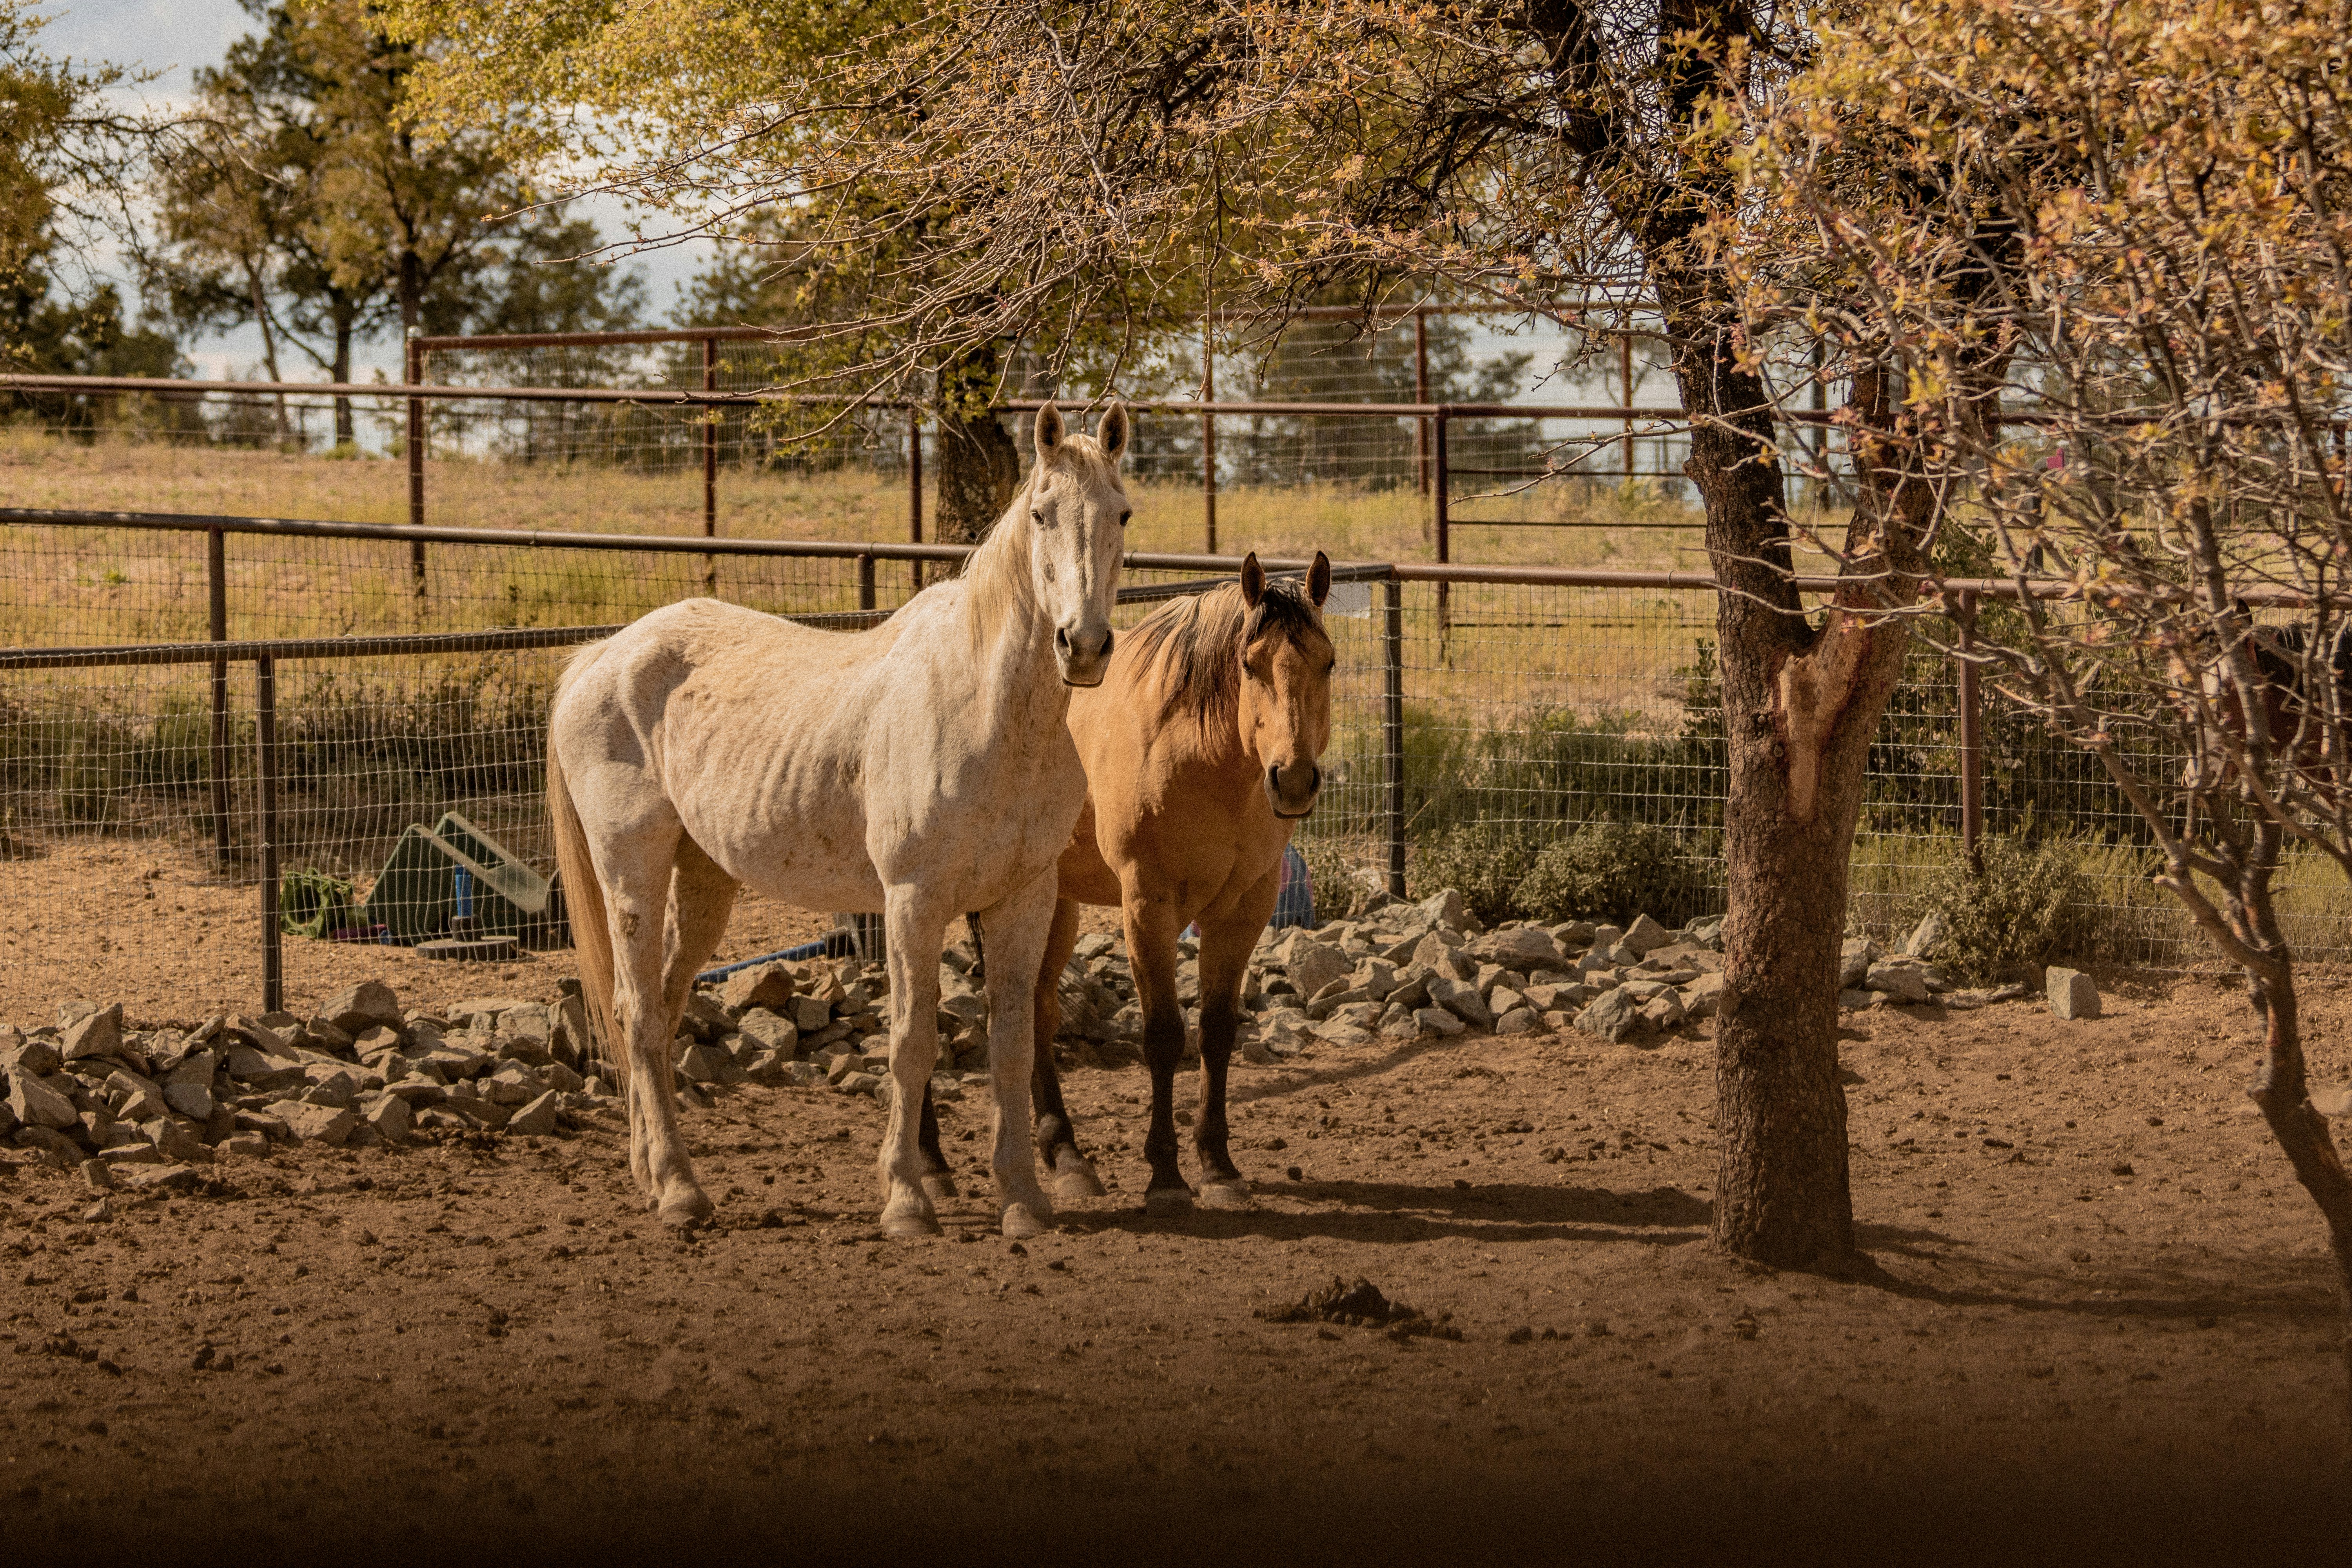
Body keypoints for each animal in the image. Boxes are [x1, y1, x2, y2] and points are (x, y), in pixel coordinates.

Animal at [547, 401, 1132, 1238]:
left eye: (1122, 513)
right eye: (1041, 513)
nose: (1082, 645)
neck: (985, 710)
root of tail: (600, 656)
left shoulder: (1024, 899)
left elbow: (1014, 1047)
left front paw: (1023, 1198)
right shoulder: (914, 901)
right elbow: (913, 1045)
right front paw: (908, 1202)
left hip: (704, 882)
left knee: (656, 1009)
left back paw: (652, 1176)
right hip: (632, 869)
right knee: (636, 1015)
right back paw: (683, 1192)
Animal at [923, 551, 1335, 1214]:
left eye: (1328, 662)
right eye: (1250, 665)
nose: (1293, 780)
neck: (1204, 757)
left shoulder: (1245, 907)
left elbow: (1217, 1031)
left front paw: (1218, 1167)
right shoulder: (1147, 903)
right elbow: (1164, 1035)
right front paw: (1166, 1176)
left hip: (1052, 904)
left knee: (1034, 1010)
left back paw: (1065, 1156)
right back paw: (932, 1164)